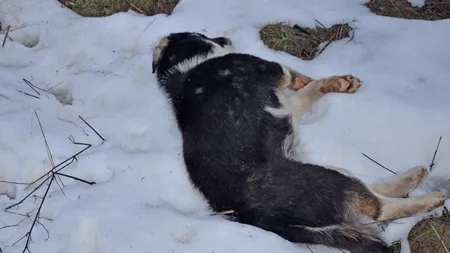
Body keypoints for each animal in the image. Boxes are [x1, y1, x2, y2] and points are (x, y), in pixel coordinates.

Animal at [150, 32, 442, 253]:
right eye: (203, 35)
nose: (226, 37)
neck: (187, 68)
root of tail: (259, 219)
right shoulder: (273, 70)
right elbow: (297, 78)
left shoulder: (289, 103)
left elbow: (309, 90)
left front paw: (337, 83)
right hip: (329, 179)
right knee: (379, 207)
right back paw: (429, 198)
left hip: (330, 174)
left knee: (373, 192)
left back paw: (412, 178)